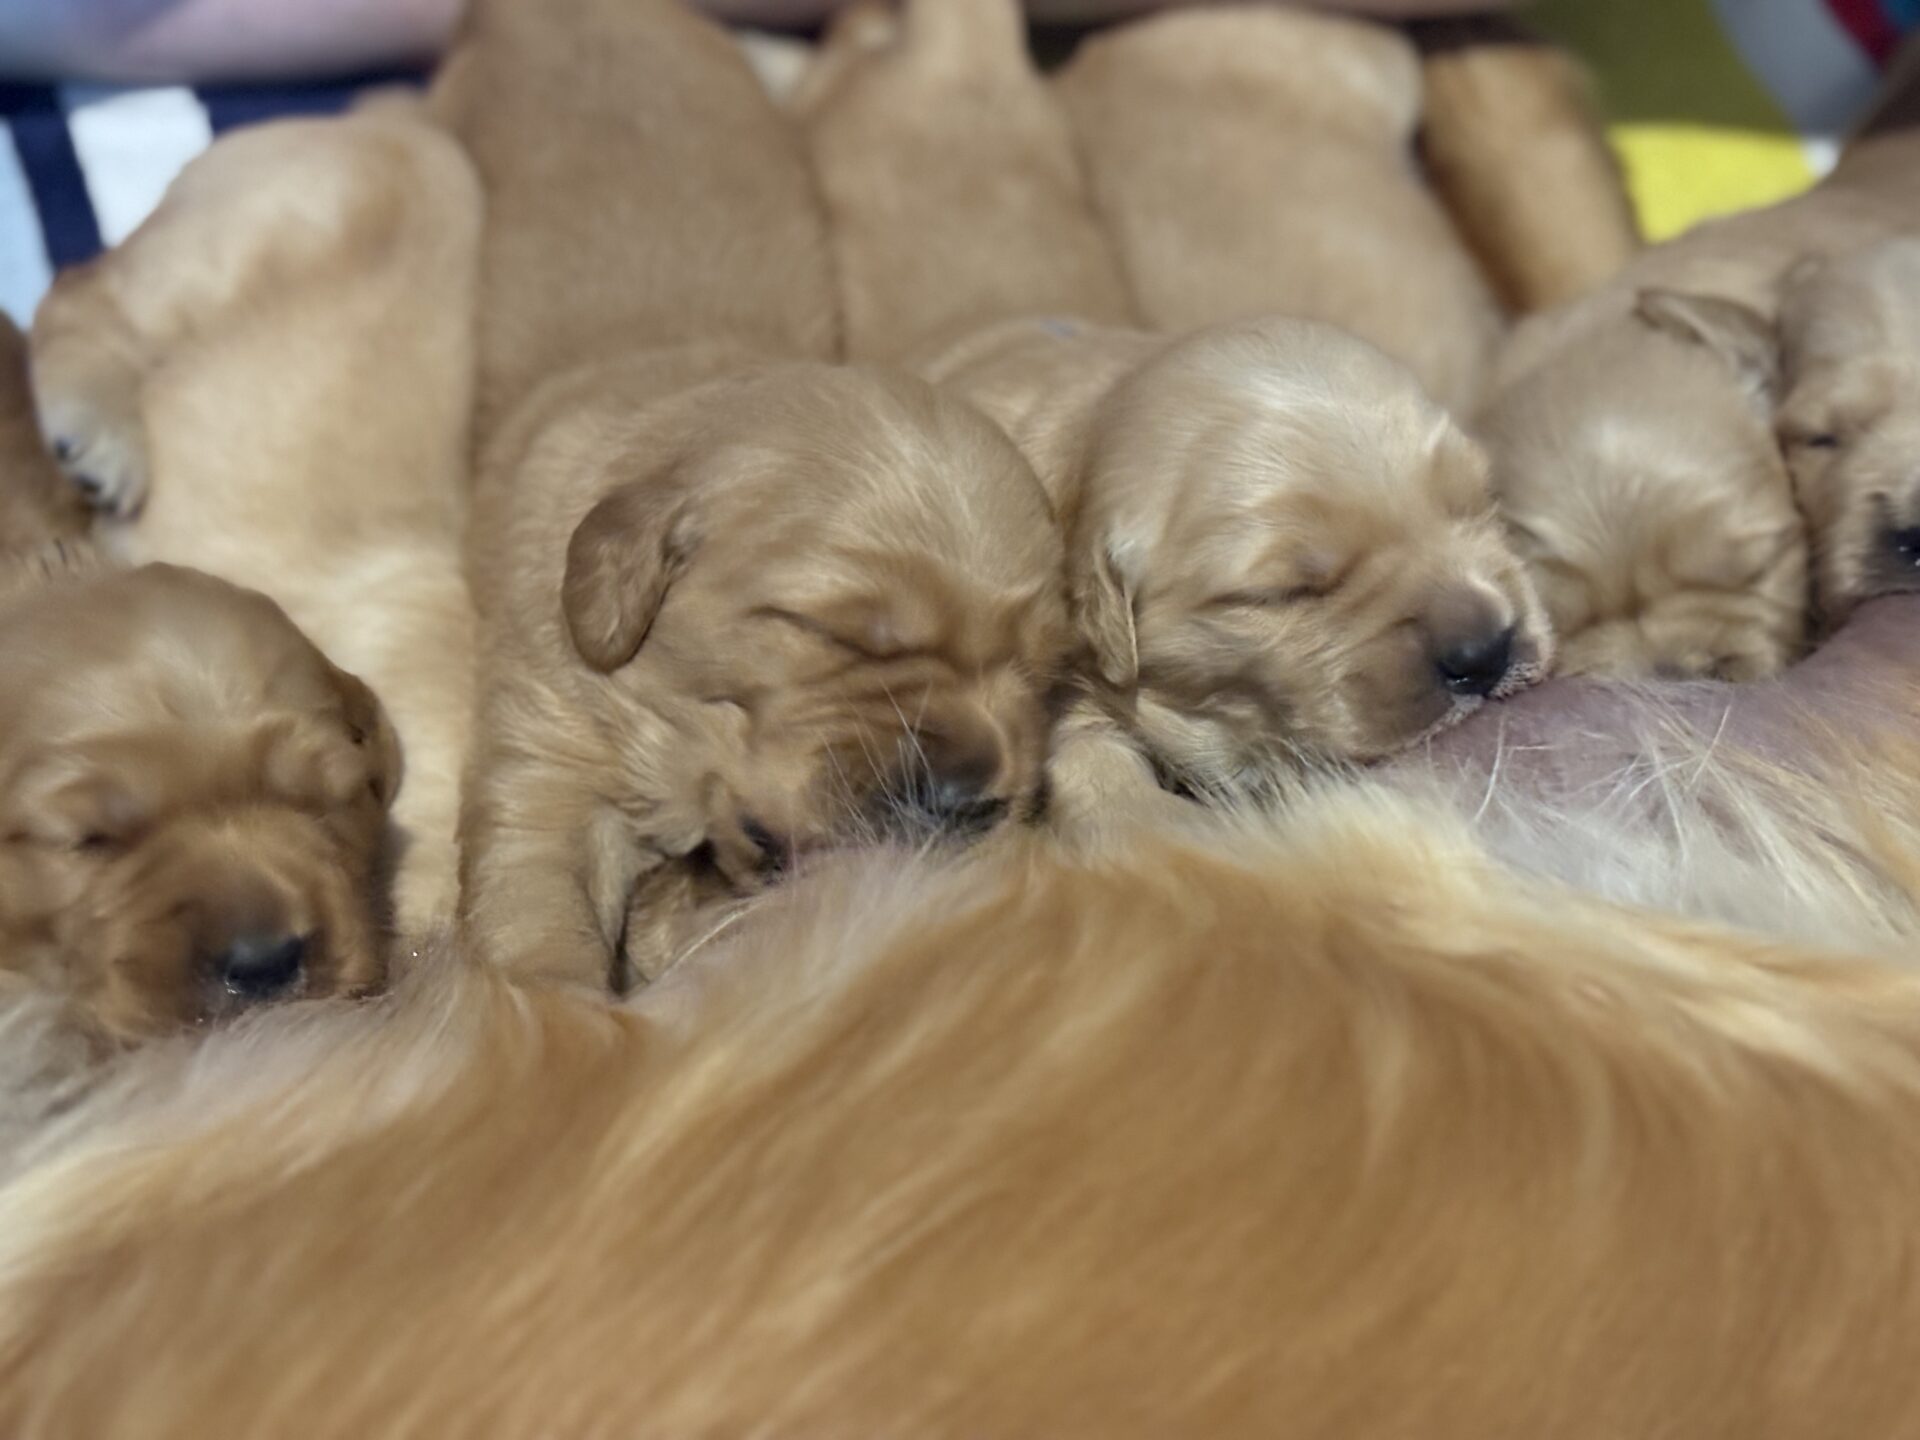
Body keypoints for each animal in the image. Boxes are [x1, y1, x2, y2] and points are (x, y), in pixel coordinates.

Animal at [445, 0, 1071, 990]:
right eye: (830, 632)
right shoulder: (545, 745)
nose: (972, 794)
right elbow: (534, 900)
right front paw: (553, 1004)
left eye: (1042, 672)